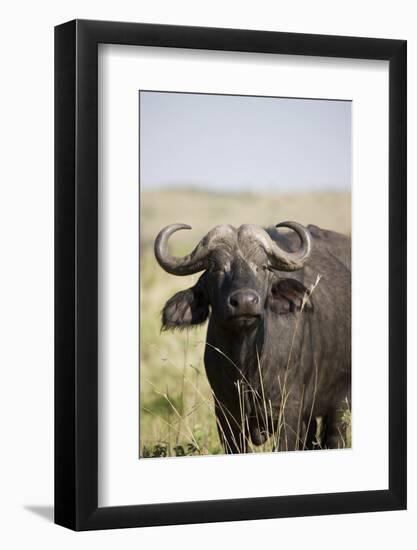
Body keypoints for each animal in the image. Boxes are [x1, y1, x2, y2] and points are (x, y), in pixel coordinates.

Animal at [154, 222, 350, 454]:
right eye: (216, 268)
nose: (245, 302)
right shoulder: (226, 416)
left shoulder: (290, 410)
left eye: (262, 267)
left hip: (341, 402)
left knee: (335, 437)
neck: (247, 364)